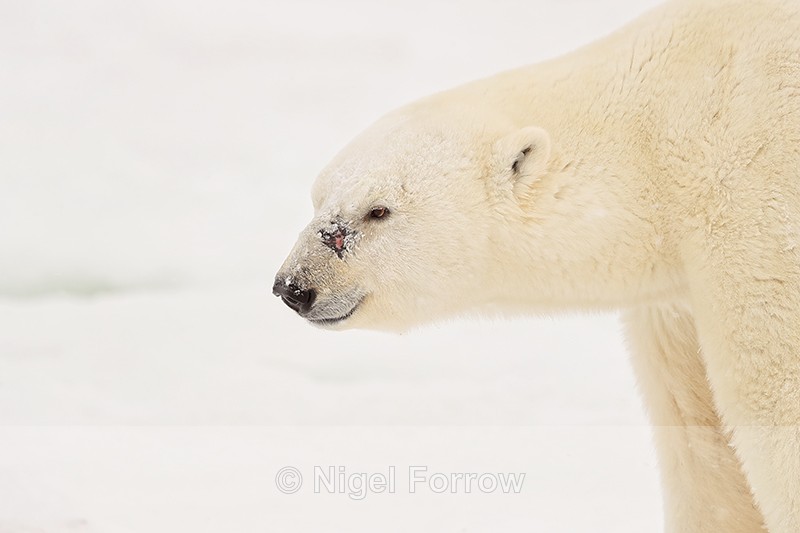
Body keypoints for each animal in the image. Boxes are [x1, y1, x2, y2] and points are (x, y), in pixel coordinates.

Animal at [272, 0, 800, 531]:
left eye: (378, 210)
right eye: (317, 199)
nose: (293, 286)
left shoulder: (757, 210)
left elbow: (774, 394)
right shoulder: (675, 295)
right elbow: (695, 427)